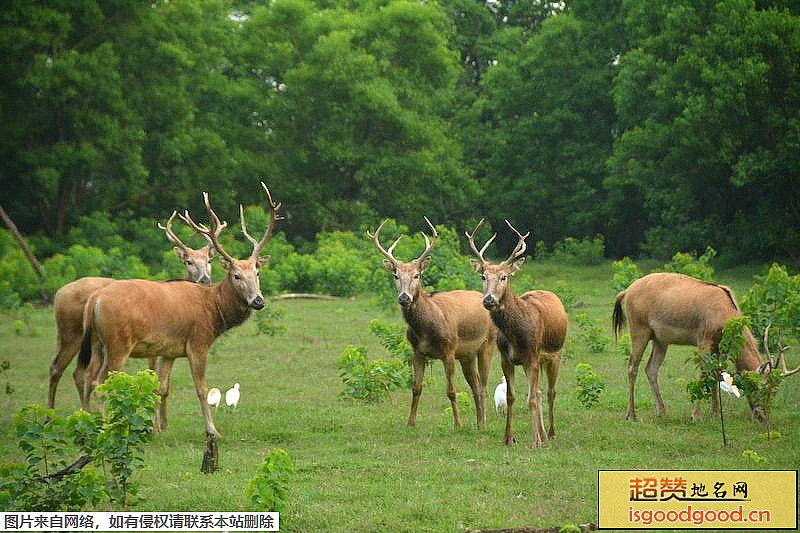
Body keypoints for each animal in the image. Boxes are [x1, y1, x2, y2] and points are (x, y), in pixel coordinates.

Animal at [47, 211, 223, 412]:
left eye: (209, 260)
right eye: (189, 262)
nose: (205, 279)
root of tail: (58, 294)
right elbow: (155, 380)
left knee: (79, 372)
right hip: (71, 334)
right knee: (58, 368)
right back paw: (50, 413)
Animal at [75, 181, 282, 438]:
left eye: (257, 273)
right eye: (236, 275)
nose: (258, 301)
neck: (214, 311)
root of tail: (95, 298)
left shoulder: (169, 350)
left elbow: (161, 387)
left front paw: (158, 430)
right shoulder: (198, 342)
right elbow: (202, 388)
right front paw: (212, 431)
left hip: (97, 342)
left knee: (88, 378)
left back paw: (88, 422)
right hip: (118, 343)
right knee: (101, 383)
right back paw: (108, 427)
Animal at [368, 216, 494, 428]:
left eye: (416, 275)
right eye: (395, 275)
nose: (404, 298)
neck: (425, 330)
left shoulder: (449, 350)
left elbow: (451, 391)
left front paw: (458, 424)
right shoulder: (417, 352)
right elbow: (416, 388)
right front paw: (410, 422)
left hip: (488, 344)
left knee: (483, 386)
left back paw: (483, 424)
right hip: (467, 355)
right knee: (475, 385)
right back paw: (478, 423)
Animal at [466, 218, 564, 446]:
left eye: (504, 277)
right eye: (483, 276)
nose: (489, 300)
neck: (516, 336)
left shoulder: (532, 356)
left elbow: (531, 398)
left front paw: (535, 441)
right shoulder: (506, 358)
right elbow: (512, 397)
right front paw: (508, 437)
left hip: (555, 354)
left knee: (550, 392)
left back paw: (551, 434)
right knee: (539, 391)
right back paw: (544, 434)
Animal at [612, 272, 792, 422]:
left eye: (775, 391)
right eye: (761, 387)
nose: (762, 416)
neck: (725, 314)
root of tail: (626, 292)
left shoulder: (718, 346)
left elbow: (716, 373)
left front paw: (716, 412)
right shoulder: (703, 339)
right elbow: (703, 373)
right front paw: (696, 416)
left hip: (660, 340)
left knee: (651, 369)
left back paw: (662, 412)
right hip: (638, 330)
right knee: (632, 367)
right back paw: (632, 415)